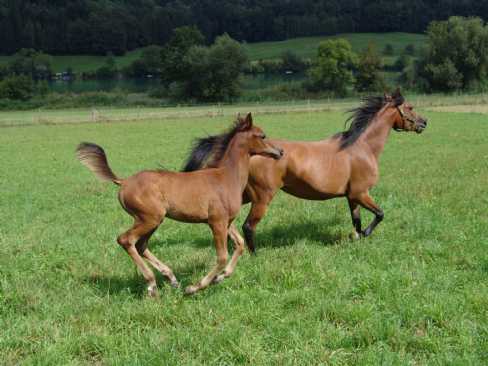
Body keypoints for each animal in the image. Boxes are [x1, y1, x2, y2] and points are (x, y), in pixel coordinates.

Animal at [75, 113, 282, 296]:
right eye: (262, 135)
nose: (280, 152)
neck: (226, 177)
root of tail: (123, 182)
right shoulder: (217, 222)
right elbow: (222, 256)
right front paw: (194, 287)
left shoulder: (226, 222)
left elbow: (239, 244)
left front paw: (221, 277)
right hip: (149, 218)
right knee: (126, 240)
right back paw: (151, 283)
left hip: (152, 221)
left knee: (140, 245)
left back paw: (171, 278)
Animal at [183, 90, 428, 253]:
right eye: (410, 107)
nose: (424, 122)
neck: (362, 147)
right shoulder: (361, 193)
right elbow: (380, 214)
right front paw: (365, 234)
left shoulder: (352, 196)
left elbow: (356, 220)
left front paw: (356, 238)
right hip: (262, 197)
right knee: (248, 226)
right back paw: (254, 254)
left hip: (243, 195)